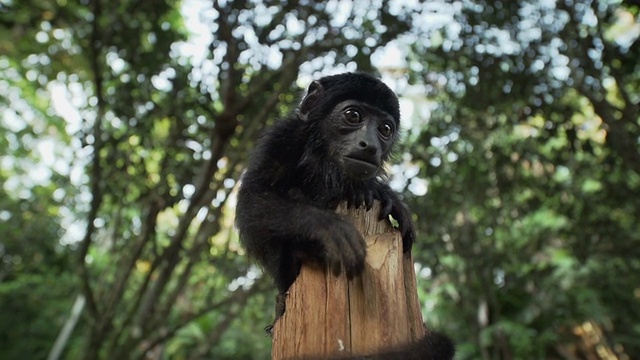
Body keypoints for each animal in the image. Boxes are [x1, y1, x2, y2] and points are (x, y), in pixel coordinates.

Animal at [238, 73, 452, 360]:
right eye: (353, 115)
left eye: (385, 129)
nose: (370, 146)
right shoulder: (282, 138)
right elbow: (251, 200)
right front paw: (329, 228)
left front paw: (383, 195)